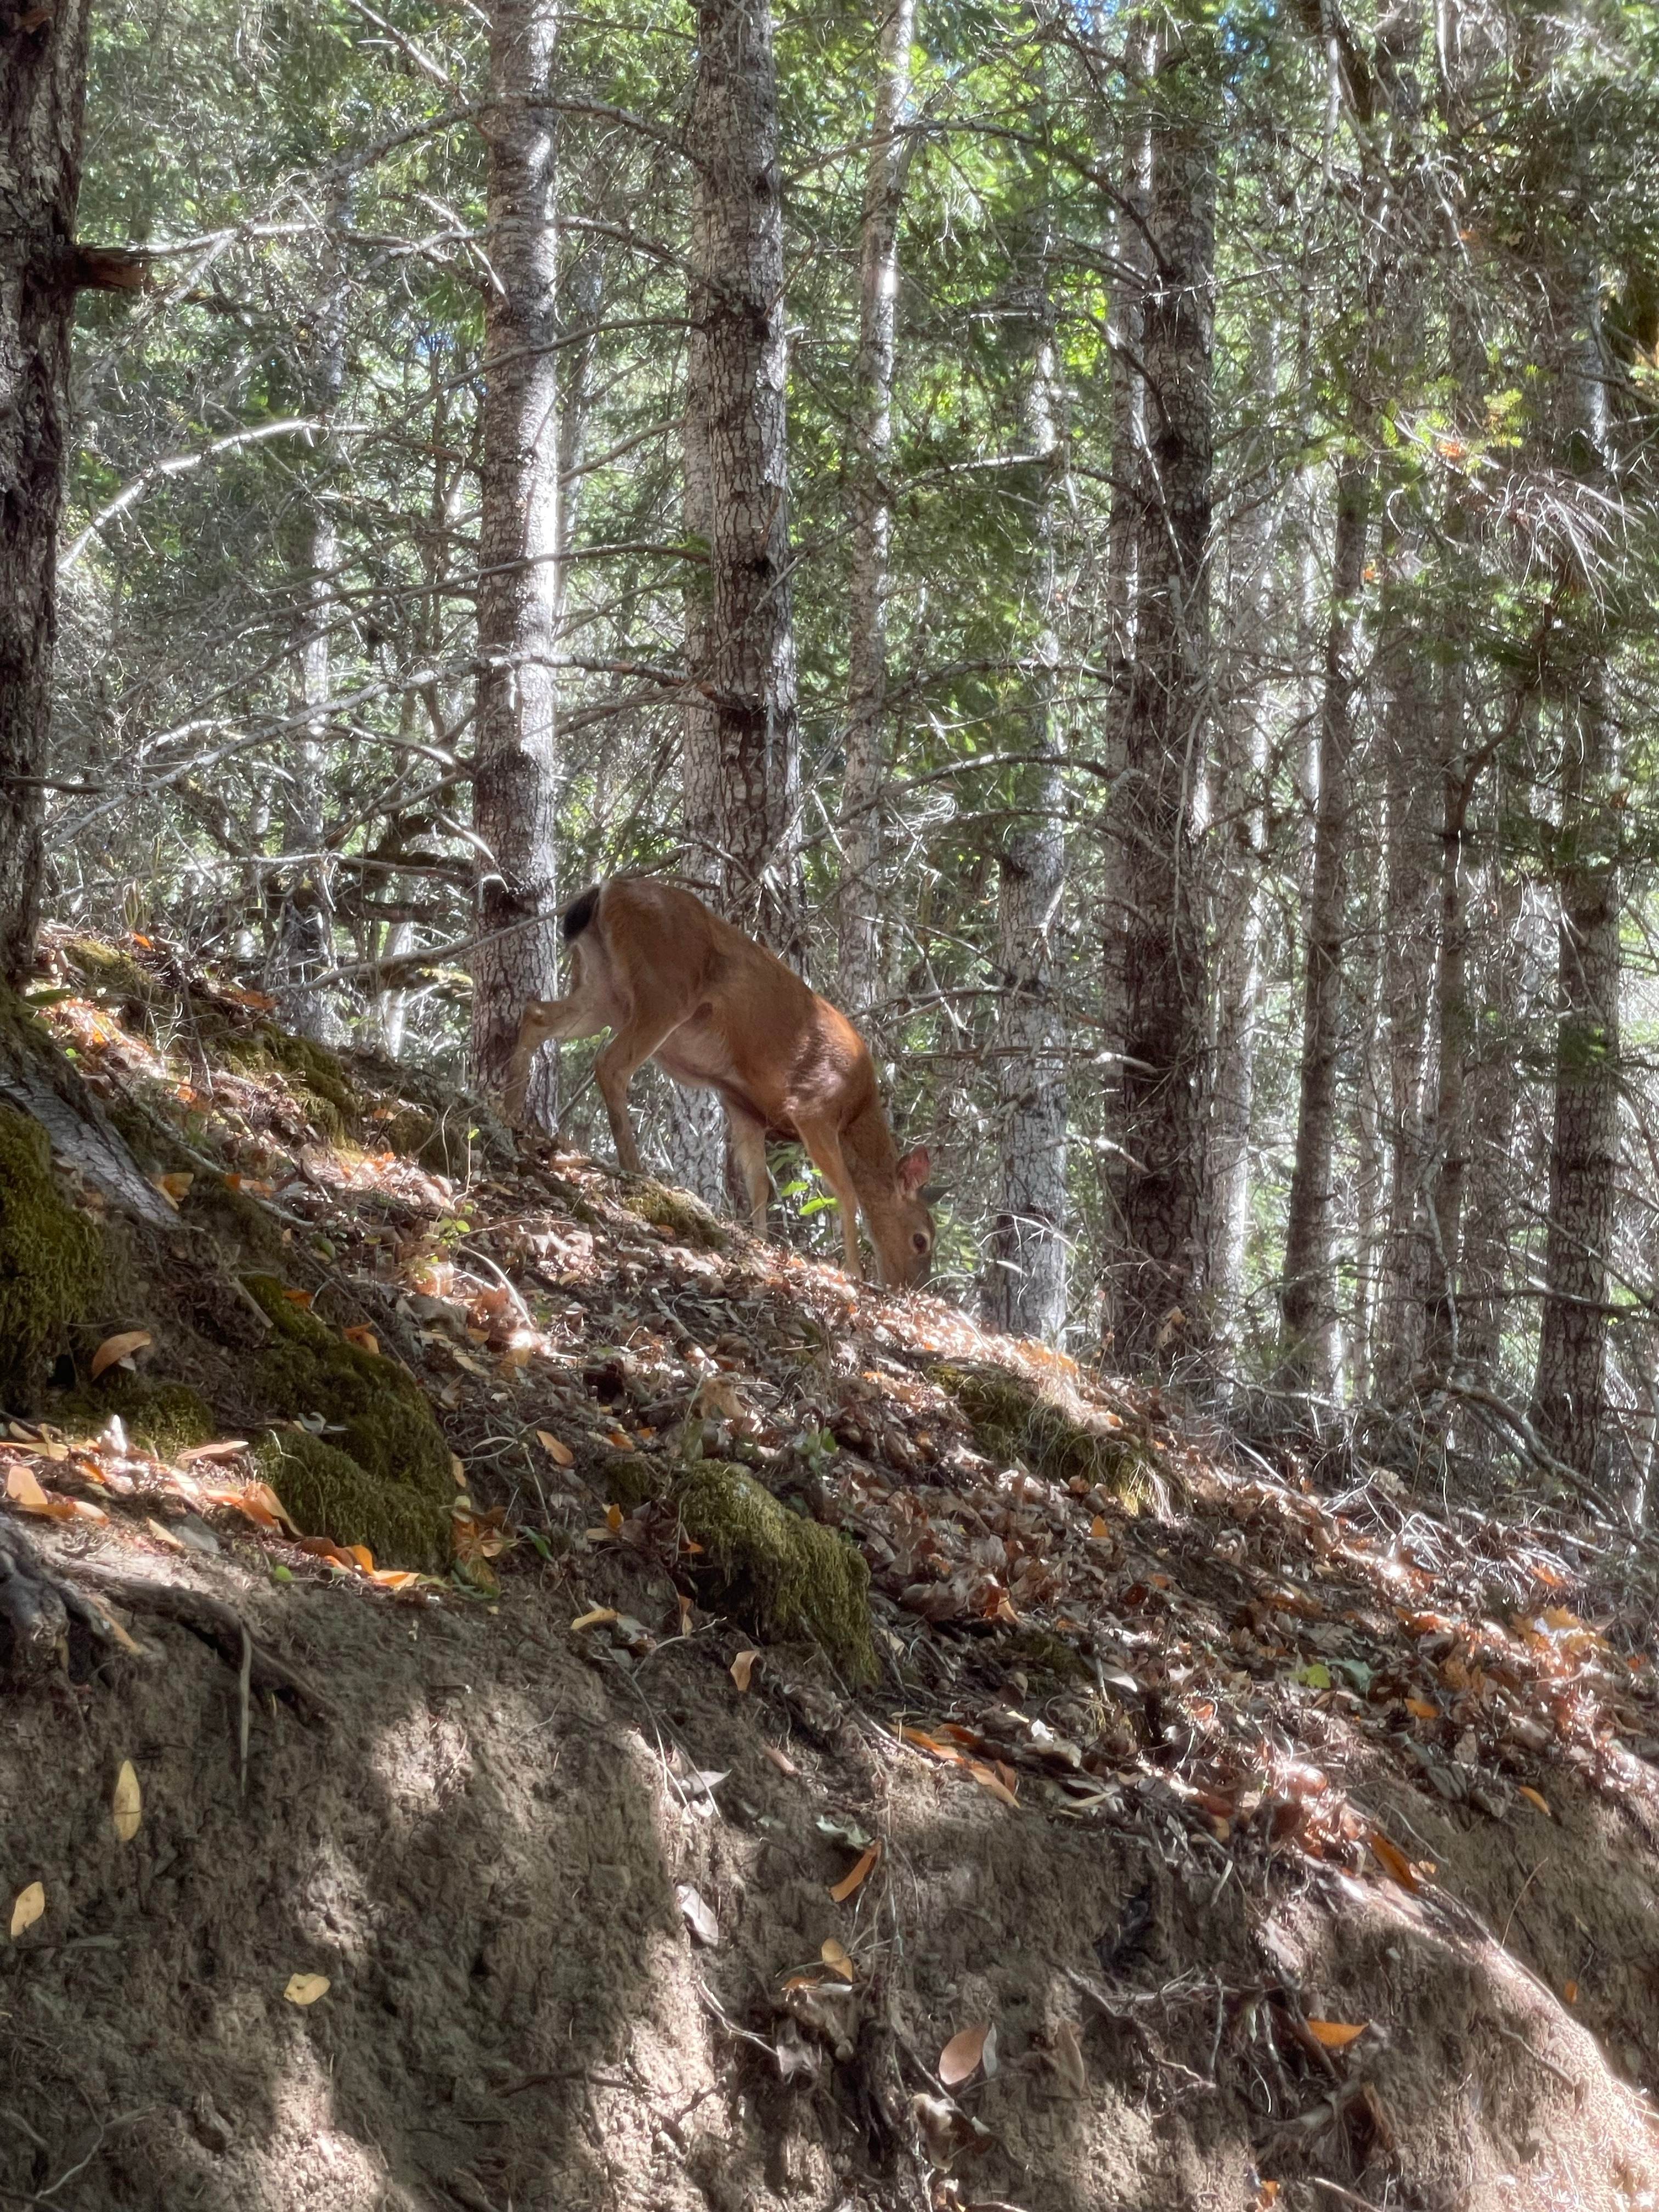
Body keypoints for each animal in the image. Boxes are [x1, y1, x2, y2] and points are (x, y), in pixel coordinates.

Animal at [503, 877, 936, 1288]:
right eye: (921, 1240)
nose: (910, 1289)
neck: (856, 1111)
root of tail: (607, 890)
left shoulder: (744, 1106)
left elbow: (758, 1183)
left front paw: (761, 1240)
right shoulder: (813, 1104)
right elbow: (846, 1192)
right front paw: (855, 1273)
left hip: (603, 992)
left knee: (536, 1014)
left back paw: (507, 1111)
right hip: (665, 990)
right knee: (609, 1064)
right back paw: (635, 1169)